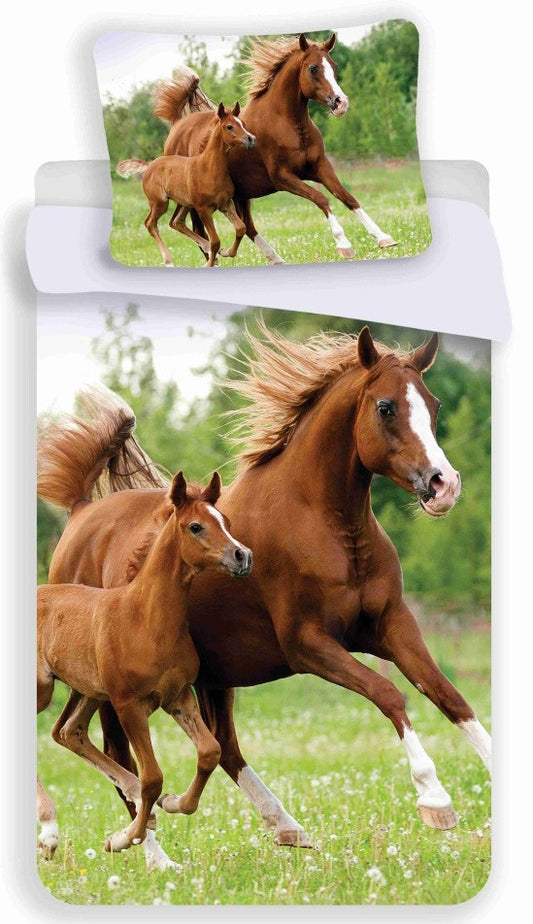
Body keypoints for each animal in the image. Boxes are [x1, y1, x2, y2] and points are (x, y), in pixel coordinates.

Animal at [36, 469, 253, 866]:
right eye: (196, 526)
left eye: (226, 522)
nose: (242, 556)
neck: (144, 618)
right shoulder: (129, 705)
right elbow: (153, 776)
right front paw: (123, 838)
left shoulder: (178, 697)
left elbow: (209, 752)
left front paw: (172, 804)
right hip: (45, 689)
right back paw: (49, 831)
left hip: (89, 691)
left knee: (68, 731)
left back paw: (135, 798)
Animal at [117, 102, 255, 267]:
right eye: (229, 126)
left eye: (243, 124)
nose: (251, 139)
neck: (209, 168)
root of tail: (149, 166)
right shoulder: (203, 209)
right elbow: (216, 241)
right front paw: (209, 263)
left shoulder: (225, 204)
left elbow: (240, 228)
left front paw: (227, 252)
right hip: (159, 203)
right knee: (150, 223)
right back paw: (169, 260)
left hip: (185, 203)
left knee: (177, 222)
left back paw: (207, 248)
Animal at [153, 34, 397, 265]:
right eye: (313, 68)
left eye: (334, 66)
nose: (340, 102)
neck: (289, 125)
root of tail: (176, 125)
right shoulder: (283, 177)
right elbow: (321, 198)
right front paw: (344, 245)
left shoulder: (320, 167)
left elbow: (347, 197)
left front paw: (383, 237)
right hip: (197, 199)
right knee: (196, 229)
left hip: (241, 194)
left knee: (246, 227)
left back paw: (275, 258)